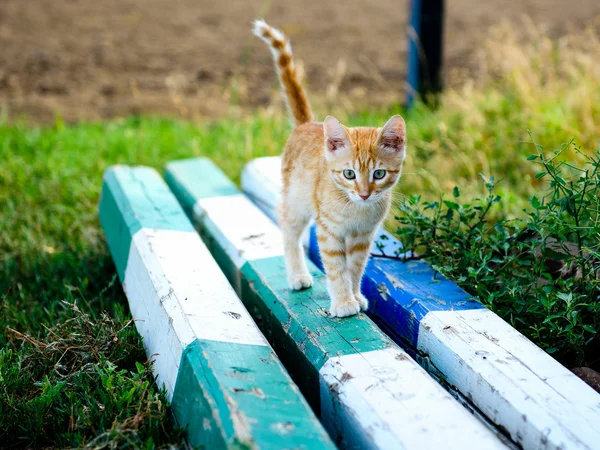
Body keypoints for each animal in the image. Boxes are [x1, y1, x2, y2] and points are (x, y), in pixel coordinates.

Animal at [251, 20, 406, 316]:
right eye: (349, 174)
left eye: (379, 174)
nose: (364, 194)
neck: (356, 209)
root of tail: (307, 124)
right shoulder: (329, 231)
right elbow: (336, 268)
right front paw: (344, 302)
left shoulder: (363, 237)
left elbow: (355, 268)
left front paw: (355, 295)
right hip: (297, 202)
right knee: (289, 230)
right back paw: (297, 274)